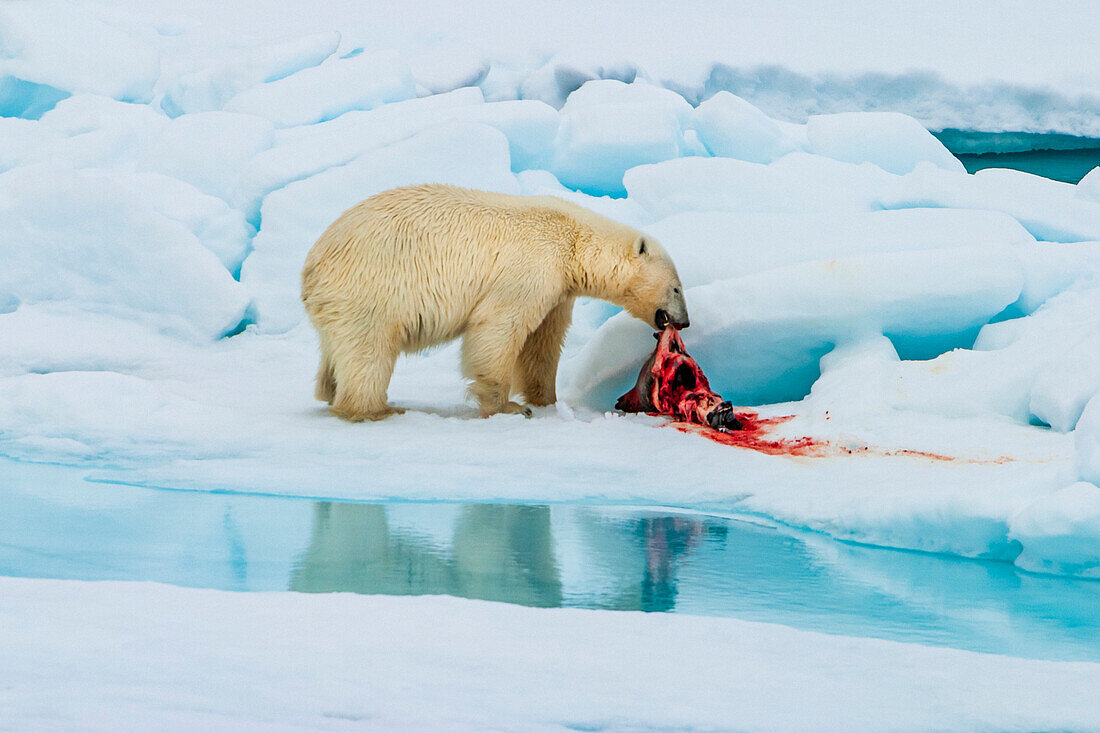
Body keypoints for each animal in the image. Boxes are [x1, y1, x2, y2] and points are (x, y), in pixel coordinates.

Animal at [301, 182, 686, 420]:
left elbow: (542, 344)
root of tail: (313, 264)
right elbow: (500, 328)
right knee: (369, 350)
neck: (573, 239)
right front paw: (510, 407)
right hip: (371, 287)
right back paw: (374, 409)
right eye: (678, 288)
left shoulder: (559, 289)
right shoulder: (532, 266)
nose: (684, 321)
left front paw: (547, 399)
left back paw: (329, 391)